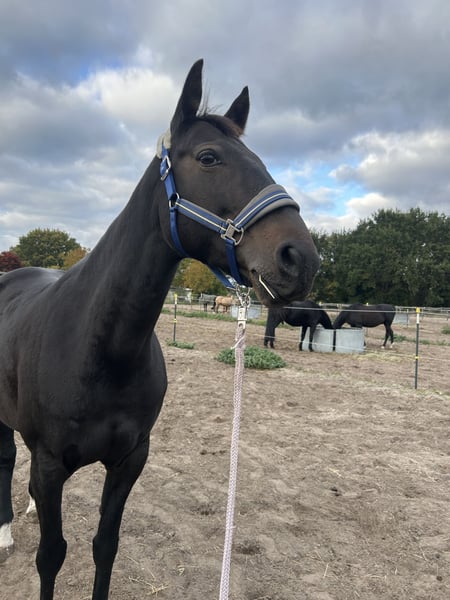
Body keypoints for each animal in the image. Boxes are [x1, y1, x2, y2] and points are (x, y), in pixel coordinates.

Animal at [0, 60, 319, 599]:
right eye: (209, 157)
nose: (300, 258)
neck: (99, 347)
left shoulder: (130, 461)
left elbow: (105, 546)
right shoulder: (49, 465)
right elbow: (51, 556)